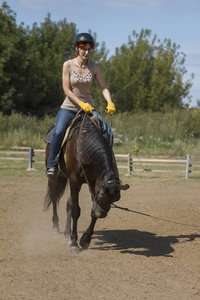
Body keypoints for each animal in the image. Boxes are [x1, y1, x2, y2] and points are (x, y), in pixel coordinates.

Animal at [43, 110, 130, 253]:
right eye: (102, 197)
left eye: (115, 199)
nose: (102, 214)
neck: (85, 148)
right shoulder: (75, 181)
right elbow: (76, 211)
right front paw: (74, 243)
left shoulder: (94, 183)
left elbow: (91, 211)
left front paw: (85, 239)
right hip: (55, 176)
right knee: (54, 197)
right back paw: (56, 226)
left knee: (68, 203)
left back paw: (67, 234)